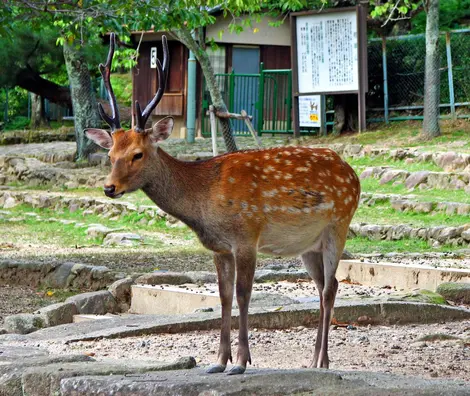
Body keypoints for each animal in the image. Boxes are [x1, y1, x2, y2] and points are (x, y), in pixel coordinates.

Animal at [86, 33, 362, 374]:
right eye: (110, 154)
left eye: (137, 153)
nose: (109, 188)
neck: (204, 201)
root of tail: (352, 174)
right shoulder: (219, 248)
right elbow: (224, 297)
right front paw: (218, 360)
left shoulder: (247, 236)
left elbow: (244, 295)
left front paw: (241, 362)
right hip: (308, 245)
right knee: (325, 284)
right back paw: (311, 359)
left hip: (339, 224)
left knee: (330, 287)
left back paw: (322, 361)